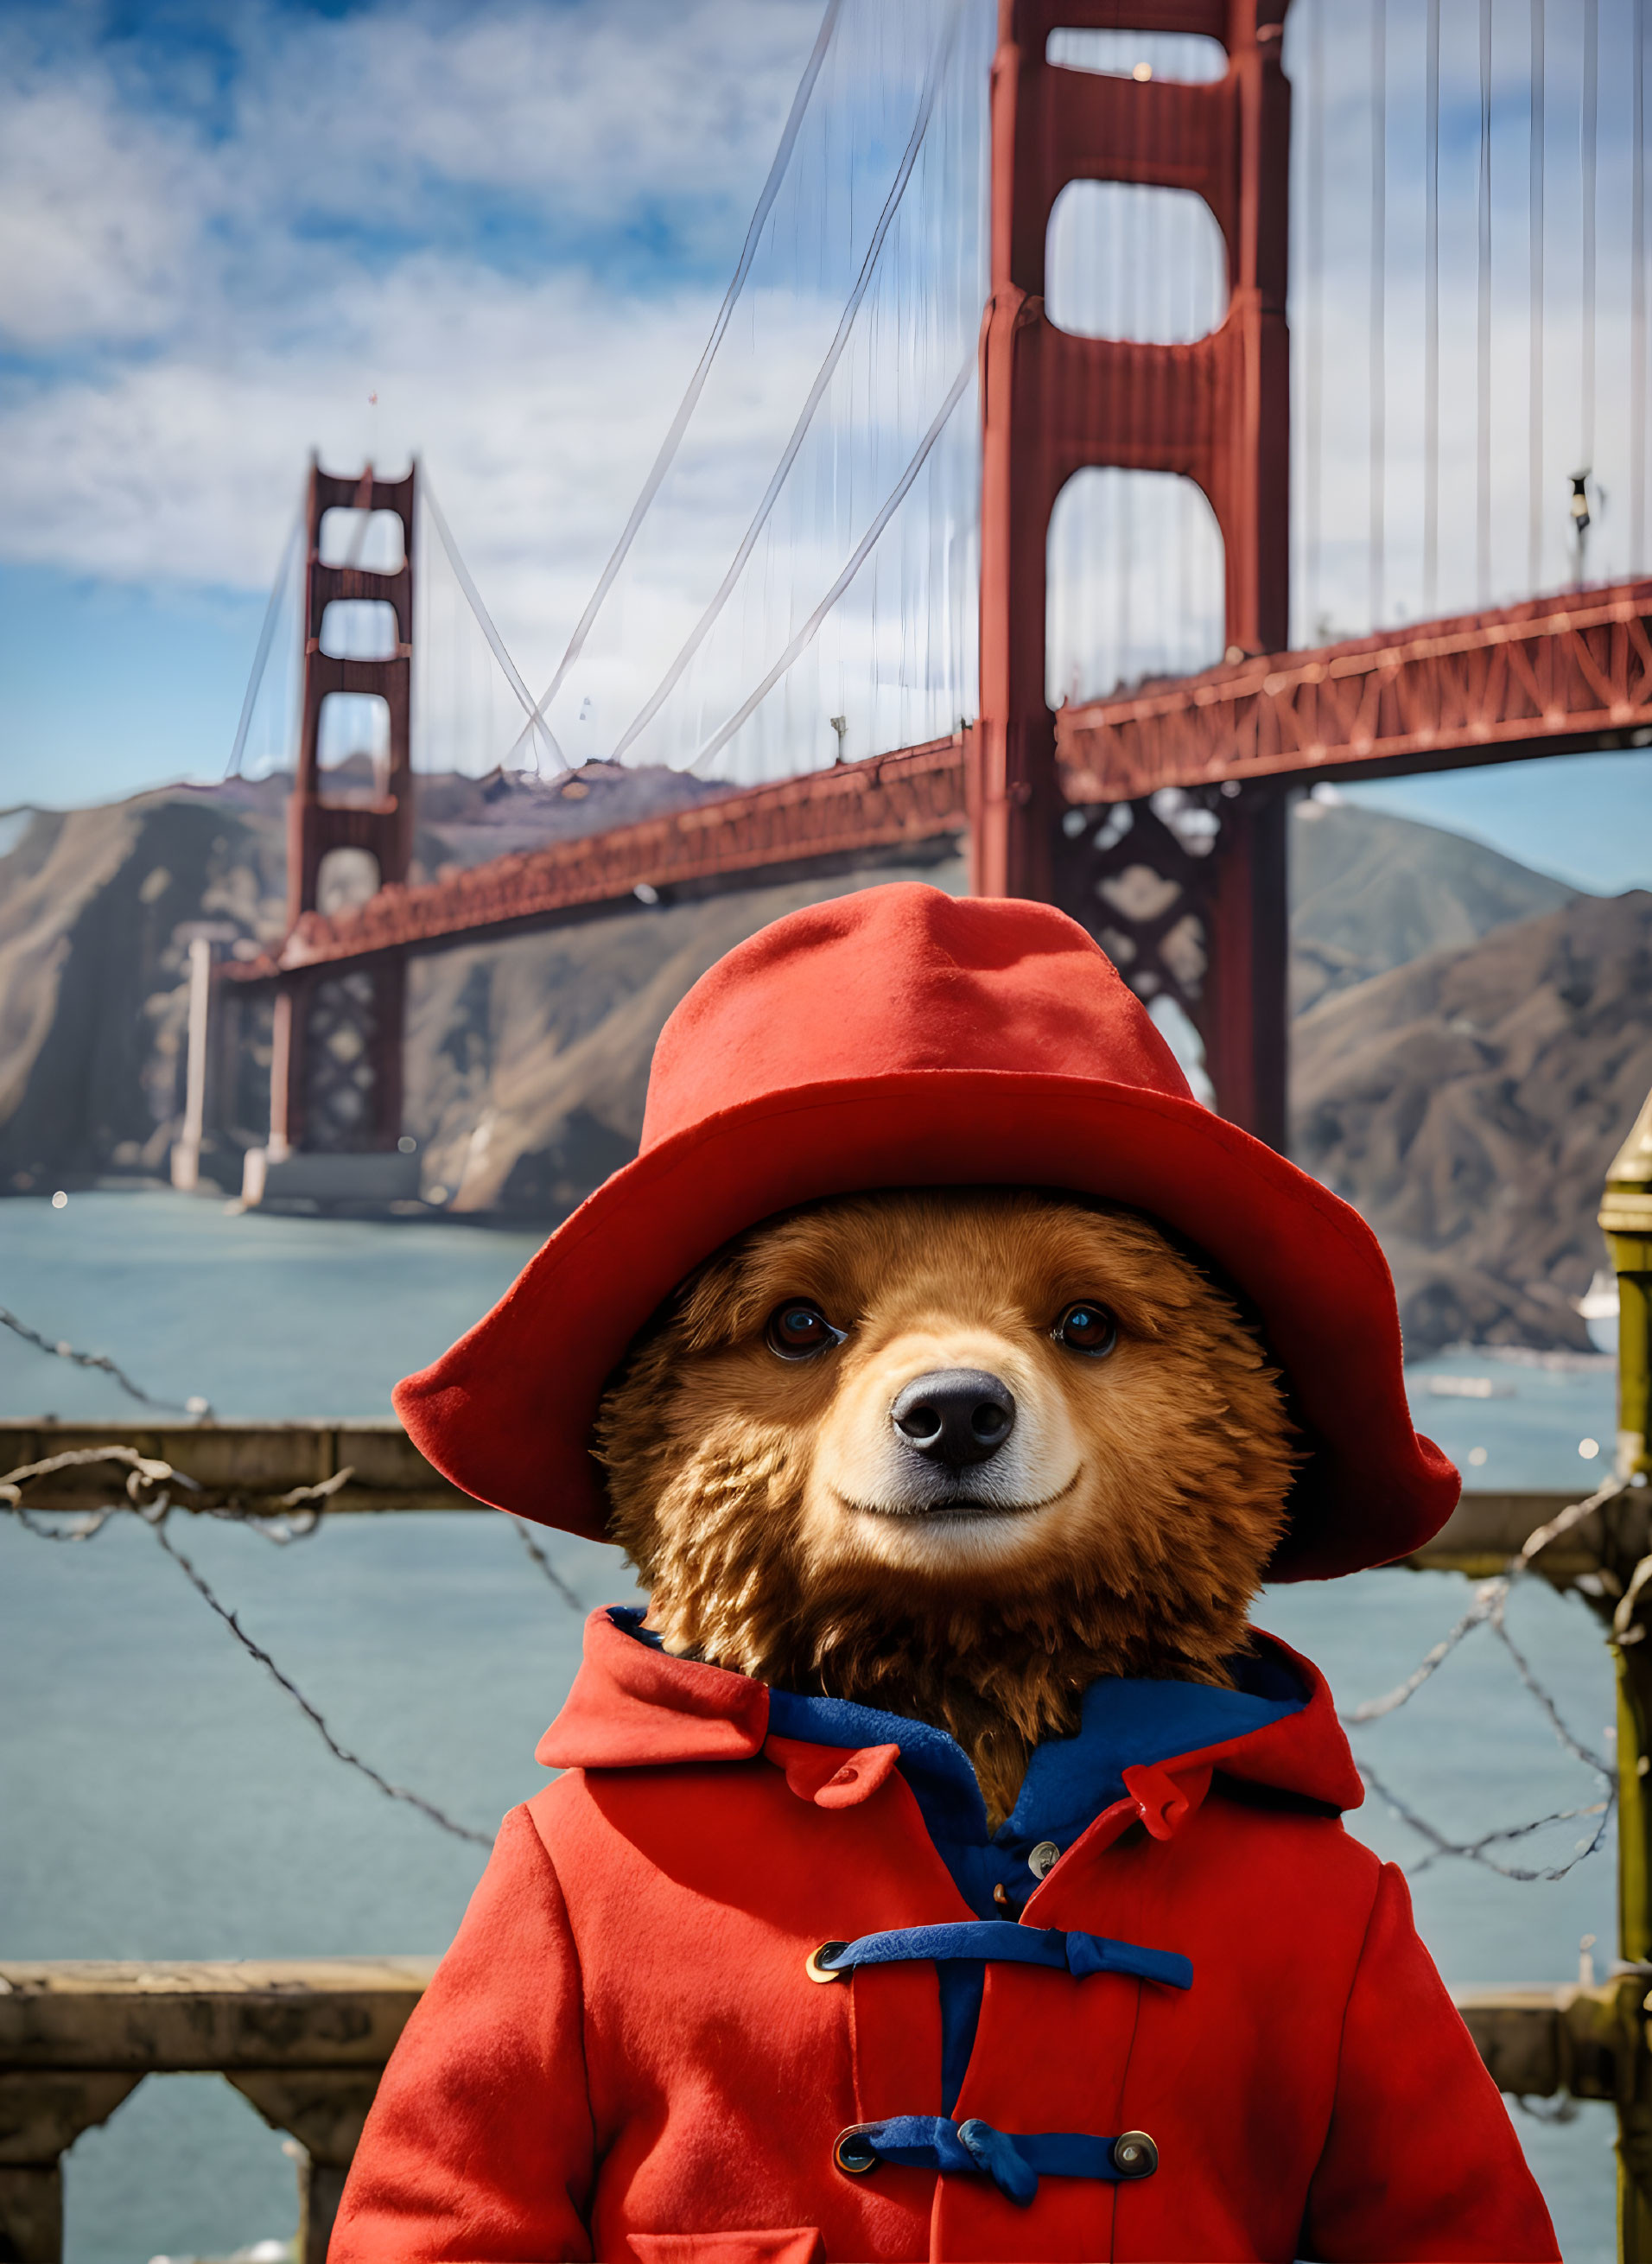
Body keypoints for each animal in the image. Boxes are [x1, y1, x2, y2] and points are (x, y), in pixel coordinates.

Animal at [330, 882, 1556, 2264]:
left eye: (1088, 1322)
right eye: (798, 1324)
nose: (956, 1411)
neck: (972, 1694)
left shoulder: (1370, 1946)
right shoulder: (535, 1911)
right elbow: (461, 2172)